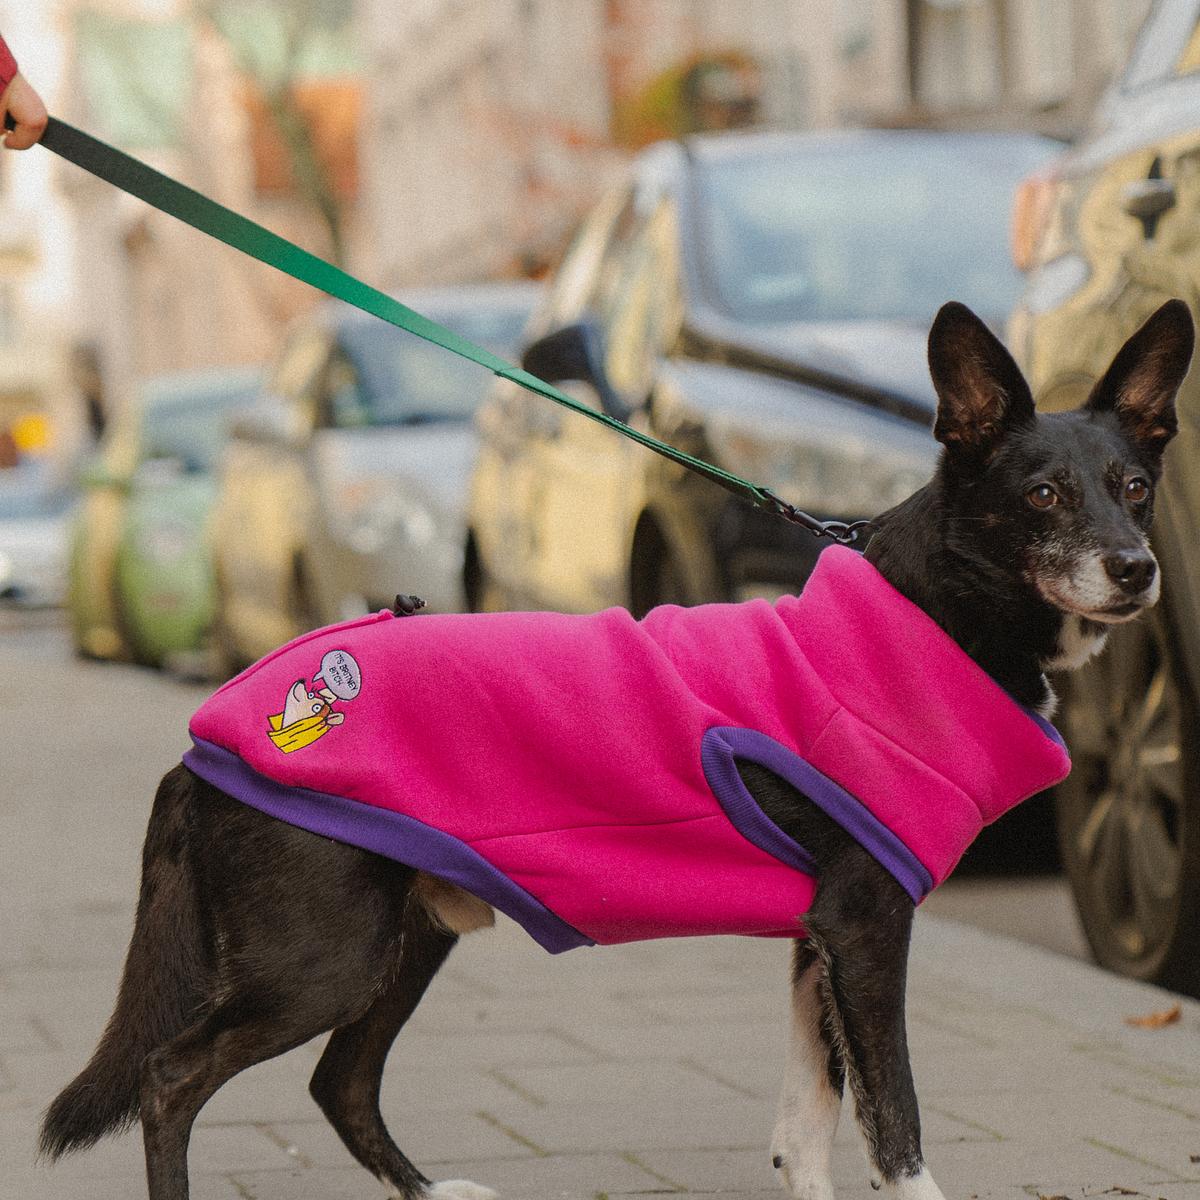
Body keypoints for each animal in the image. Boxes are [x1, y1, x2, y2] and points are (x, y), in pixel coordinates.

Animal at [42, 297, 1195, 1200]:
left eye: (1136, 488)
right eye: (1043, 495)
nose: (1137, 568)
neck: (934, 611)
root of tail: (209, 736)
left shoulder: (817, 938)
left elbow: (809, 1121)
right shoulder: (868, 929)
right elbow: (896, 1125)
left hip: (406, 936)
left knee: (341, 1083)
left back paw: (431, 1192)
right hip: (322, 956)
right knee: (172, 1080)